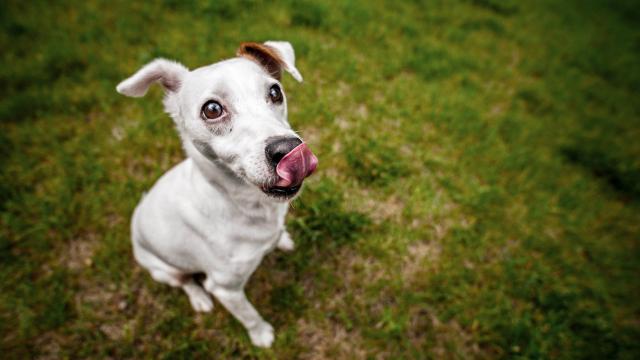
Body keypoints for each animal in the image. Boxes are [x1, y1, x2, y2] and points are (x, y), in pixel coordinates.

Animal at [116, 40, 318, 348]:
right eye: (212, 109)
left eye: (275, 92)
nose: (288, 149)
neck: (247, 205)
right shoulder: (226, 288)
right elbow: (248, 314)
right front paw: (261, 335)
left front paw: (281, 240)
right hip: (165, 270)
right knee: (186, 282)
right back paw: (199, 299)